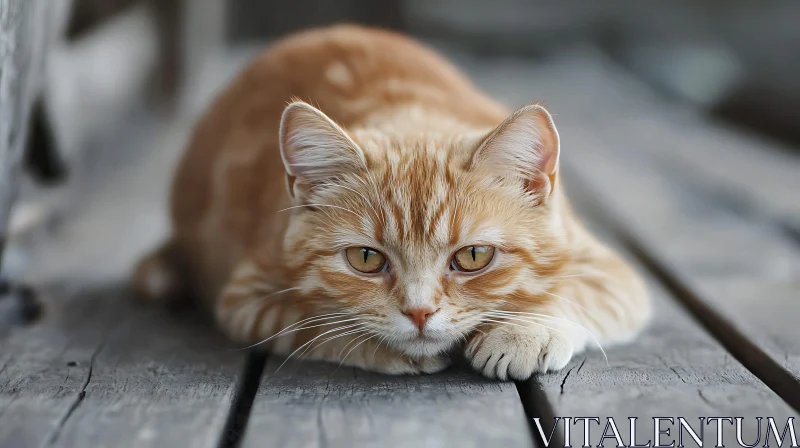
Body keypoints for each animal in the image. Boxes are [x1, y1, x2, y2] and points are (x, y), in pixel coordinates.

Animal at [134, 25, 648, 378]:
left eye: (473, 256)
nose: (419, 314)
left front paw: (525, 330)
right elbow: (322, 325)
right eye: (365, 258)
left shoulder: (610, 272)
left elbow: (574, 294)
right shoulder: (250, 299)